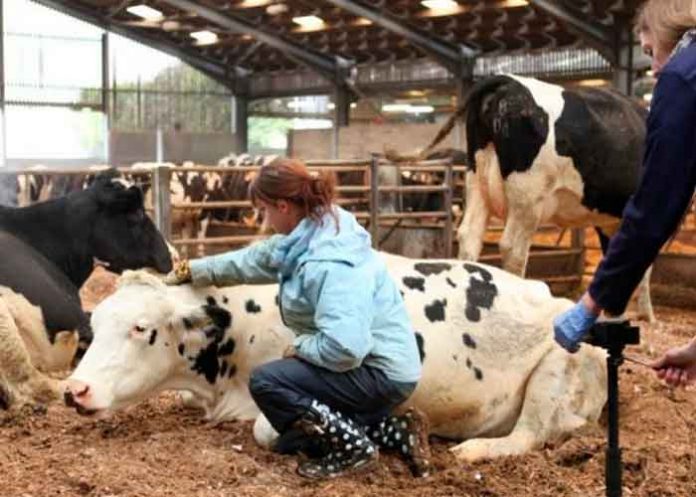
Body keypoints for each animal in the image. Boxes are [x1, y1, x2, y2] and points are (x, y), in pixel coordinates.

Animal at [64, 253, 607, 462]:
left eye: (141, 328)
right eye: (98, 322)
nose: (74, 390)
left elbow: (266, 429)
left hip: (555, 367)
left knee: (531, 434)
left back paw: (476, 449)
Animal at [412, 74, 653, 320]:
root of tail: (507, 82)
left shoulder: (610, 221)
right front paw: (645, 314)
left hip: (477, 184)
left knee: (469, 237)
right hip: (527, 198)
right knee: (513, 249)